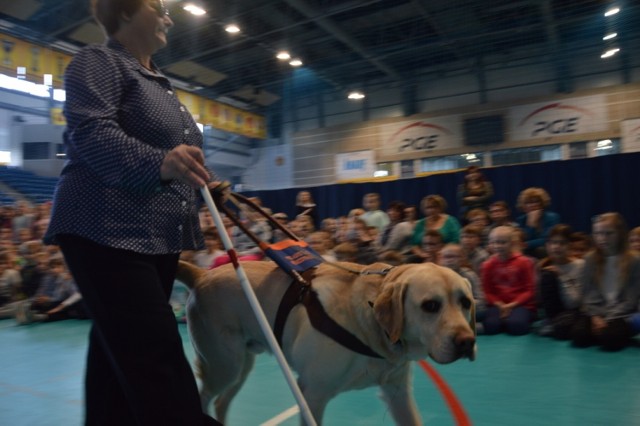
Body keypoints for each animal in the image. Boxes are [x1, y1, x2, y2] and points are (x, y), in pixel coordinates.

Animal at [176, 260, 476, 426]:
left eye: (466, 302)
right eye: (430, 305)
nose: (467, 342)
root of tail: (202, 274)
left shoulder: (398, 393)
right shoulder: (313, 395)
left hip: (240, 366)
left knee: (221, 402)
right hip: (223, 365)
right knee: (205, 396)